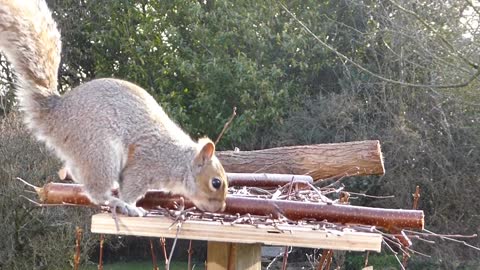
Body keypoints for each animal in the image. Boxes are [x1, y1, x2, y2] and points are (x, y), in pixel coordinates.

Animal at [0, 0, 228, 215]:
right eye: (216, 183)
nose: (220, 208)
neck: (178, 159)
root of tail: (56, 114)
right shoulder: (143, 165)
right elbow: (131, 189)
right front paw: (132, 205)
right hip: (101, 151)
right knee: (96, 192)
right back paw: (117, 203)